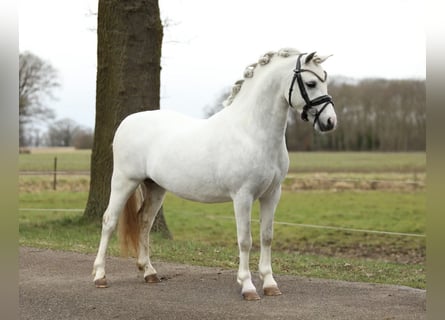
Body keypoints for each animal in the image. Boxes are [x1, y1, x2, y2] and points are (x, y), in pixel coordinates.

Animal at [93, 47, 336, 300]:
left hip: (155, 187)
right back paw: (100, 276)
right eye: (310, 83)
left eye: (324, 80)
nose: (329, 121)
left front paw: (270, 284)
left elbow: (266, 237)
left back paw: (149, 272)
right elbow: (245, 240)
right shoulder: (243, 196)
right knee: (109, 221)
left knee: (144, 222)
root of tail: (127, 122)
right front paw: (247, 286)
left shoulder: (272, 194)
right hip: (124, 181)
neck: (251, 132)